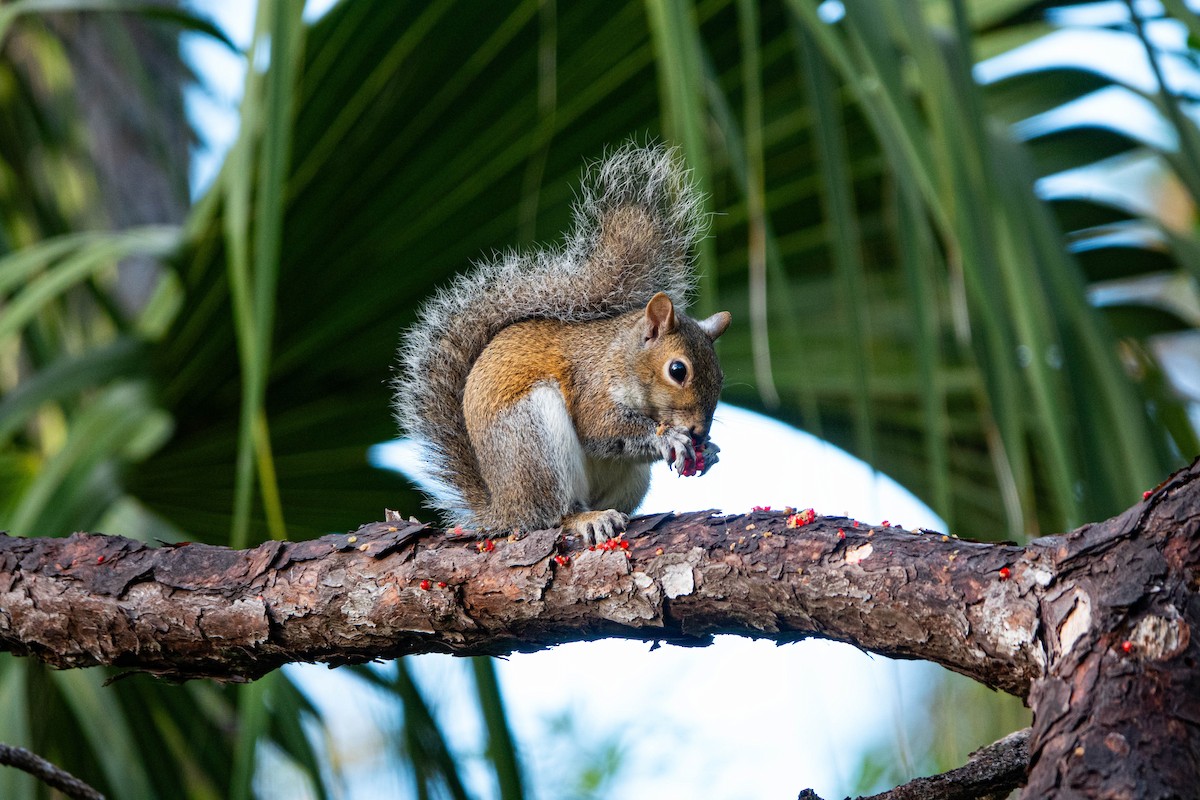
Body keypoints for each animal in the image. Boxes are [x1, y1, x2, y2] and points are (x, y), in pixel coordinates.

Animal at [395, 144, 730, 544]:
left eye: (721, 378)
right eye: (677, 370)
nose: (699, 431)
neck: (621, 357)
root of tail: (504, 508)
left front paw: (709, 450)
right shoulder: (591, 385)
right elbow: (600, 428)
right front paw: (670, 439)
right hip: (534, 440)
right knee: (553, 514)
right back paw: (584, 519)